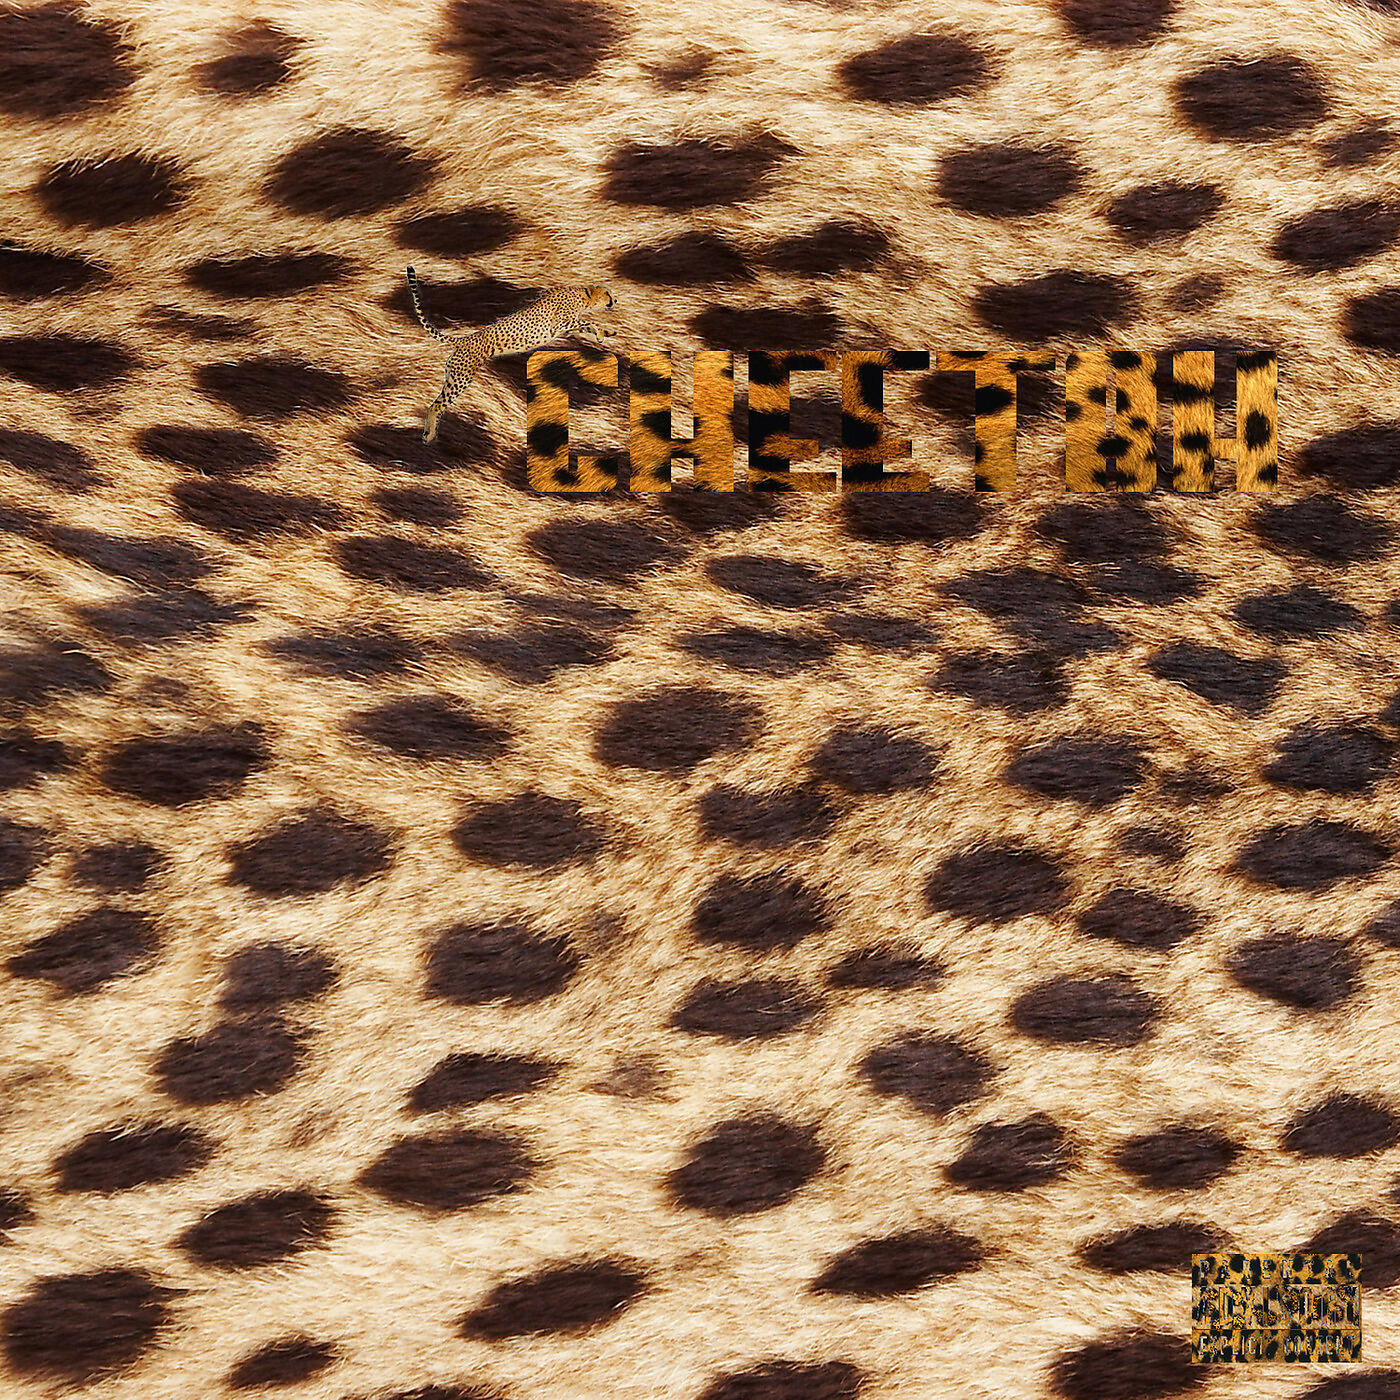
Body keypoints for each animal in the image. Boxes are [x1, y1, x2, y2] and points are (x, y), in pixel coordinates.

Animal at [407, 268, 616, 444]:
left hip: (453, 376)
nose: (615, 301)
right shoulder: (560, 324)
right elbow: (587, 322)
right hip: (461, 379)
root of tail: (463, 340)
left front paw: (605, 333)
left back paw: (430, 432)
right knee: (436, 405)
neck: (581, 295)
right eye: (608, 294)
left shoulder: (567, 326)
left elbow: (587, 326)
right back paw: (429, 436)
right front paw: (601, 331)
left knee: (438, 403)